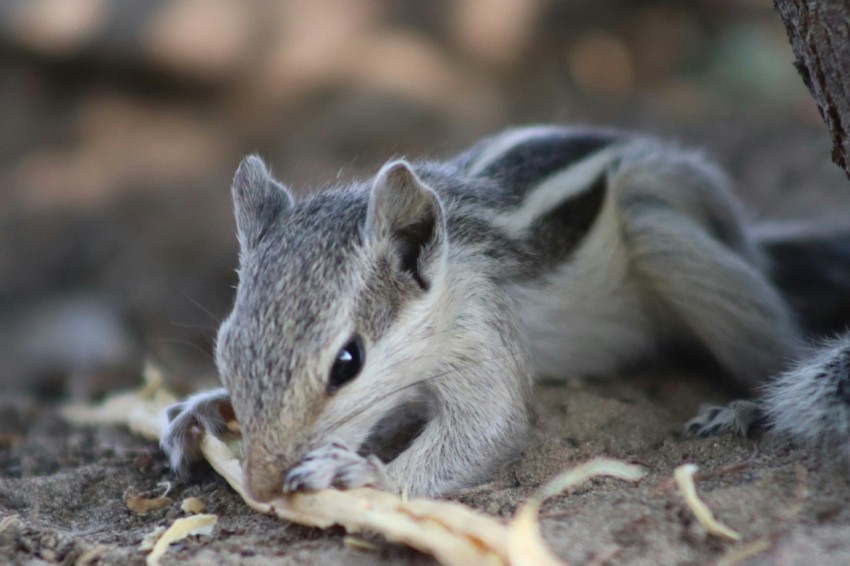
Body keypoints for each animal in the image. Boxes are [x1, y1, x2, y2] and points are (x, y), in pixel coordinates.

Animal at [161, 125, 848, 502]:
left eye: (347, 363)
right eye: (225, 347)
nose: (260, 485)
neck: (446, 282)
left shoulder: (480, 332)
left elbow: (489, 428)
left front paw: (362, 475)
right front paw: (200, 410)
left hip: (665, 236)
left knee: (772, 341)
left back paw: (744, 406)